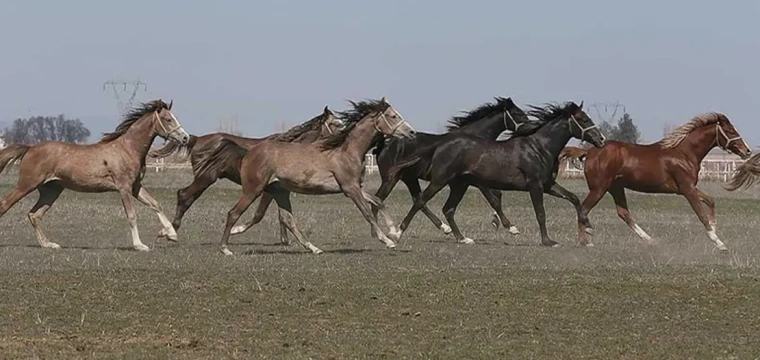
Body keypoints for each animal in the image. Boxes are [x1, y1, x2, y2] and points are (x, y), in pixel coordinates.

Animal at [0, 98, 190, 250]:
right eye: (168, 119)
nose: (185, 138)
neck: (127, 149)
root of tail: (29, 148)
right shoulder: (124, 188)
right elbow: (131, 215)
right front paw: (139, 245)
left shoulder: (135, 186)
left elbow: (156, 204)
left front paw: (171, 235)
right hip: (26, 185)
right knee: (5, 205)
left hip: (51, 189)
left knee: (35, 215)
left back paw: (49, 244)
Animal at [149, 105, 344, 245]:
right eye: (336, 124)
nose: (345, 138)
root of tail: (195, 139)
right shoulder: (269, 190)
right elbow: (260, 215)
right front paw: (237, 230)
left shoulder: (278, 190)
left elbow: (281, 215)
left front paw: (286, 240)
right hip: (205, 178)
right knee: (183, 195)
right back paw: (169, 231)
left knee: (187, 197)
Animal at [372, 96, 532, 236]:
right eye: (518, 113)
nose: (531, 127)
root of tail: (384, 144)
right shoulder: (477, 181)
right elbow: (494, 199)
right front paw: (511, 227)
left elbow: (497, 195)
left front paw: (496, 221)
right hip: (391, 179)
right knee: (380, 199)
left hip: (410, 178)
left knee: (419, 201)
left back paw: (445, 228)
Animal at [388, 101, 608, 248]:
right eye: (582, 119)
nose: (602, 140)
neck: (539, 147)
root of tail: (441, 143)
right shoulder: (535, 185)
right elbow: (540, 213)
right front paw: (547, 241)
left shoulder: (548, 185)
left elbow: (574, 198)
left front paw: (588, 228)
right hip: (440, 180)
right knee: (420, 201)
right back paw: (396, 234)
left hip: (459, 184)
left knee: (448, 209)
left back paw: (463, 238)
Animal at [560, 112, 752, 250]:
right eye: (731, 132)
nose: (747, 151)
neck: (684, 153)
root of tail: (590, 152)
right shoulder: (687, 189)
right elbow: (701, 213)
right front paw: (718, 242)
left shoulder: (686, 188)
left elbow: (710, 201)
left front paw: (714, 228)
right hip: (599, 188)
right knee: (583, 209)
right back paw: (585, 241)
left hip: (616, 188)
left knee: (623, 213)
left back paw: (650, 240)